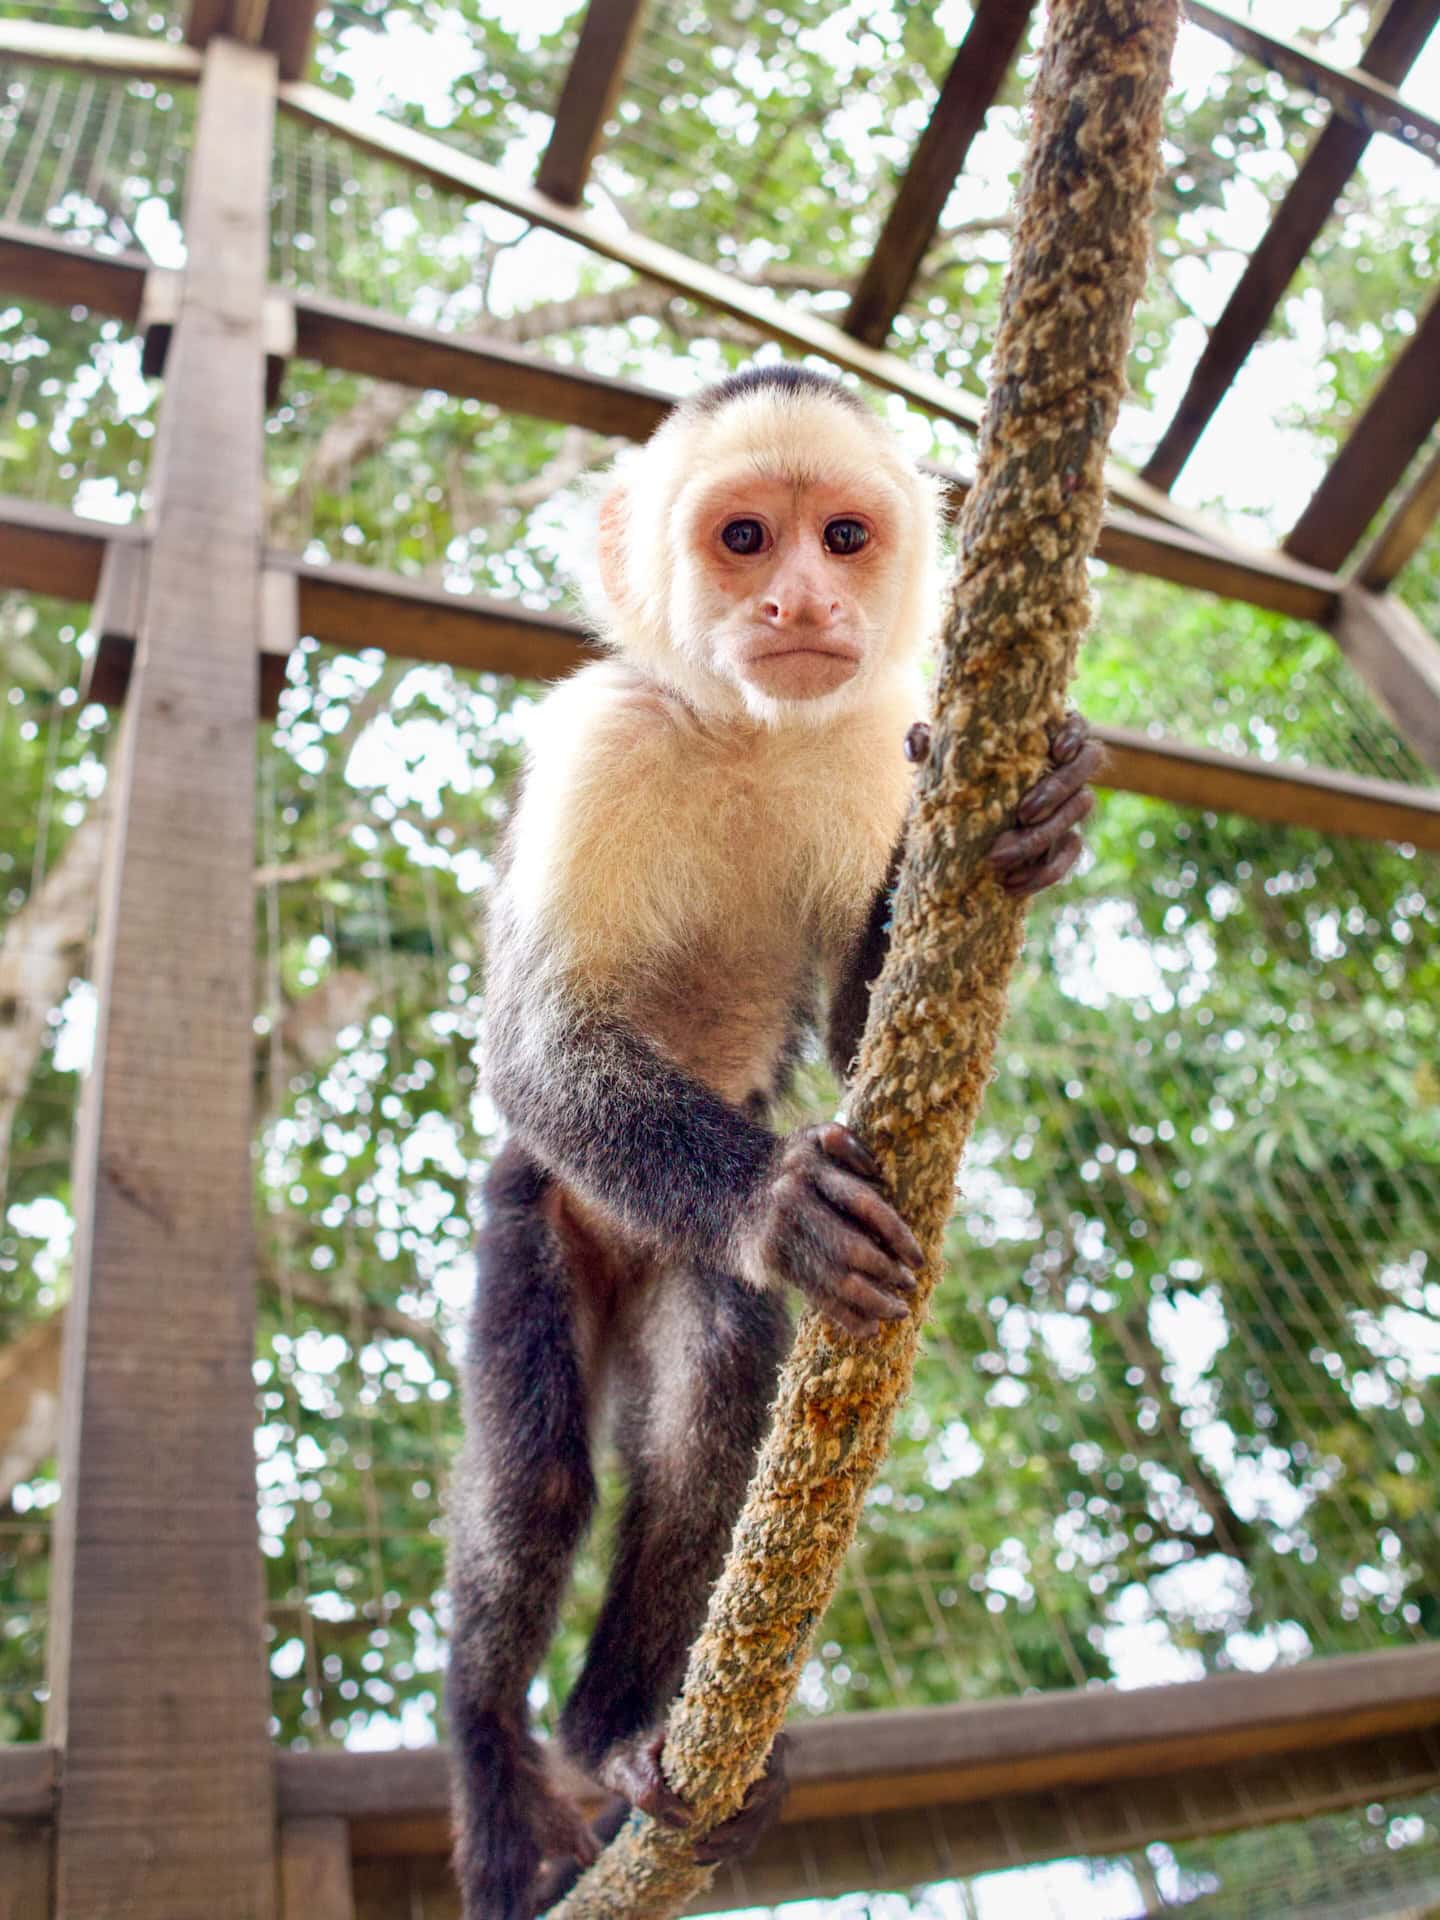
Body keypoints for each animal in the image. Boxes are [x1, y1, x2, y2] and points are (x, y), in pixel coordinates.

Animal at [446, 365, 1101, 1918]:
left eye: (843, 537)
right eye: (745, 538)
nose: (802, 599)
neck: (745, 729)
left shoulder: (881, 750)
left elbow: (881, 1028)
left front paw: (1056, 806)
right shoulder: (600, 736)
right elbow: (535, 1049)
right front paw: (779, 1202)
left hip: (672, 1277)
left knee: (706, 1410)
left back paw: (616, 1736)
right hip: (542, 1214)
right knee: (533, 1488)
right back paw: (499, 1759)